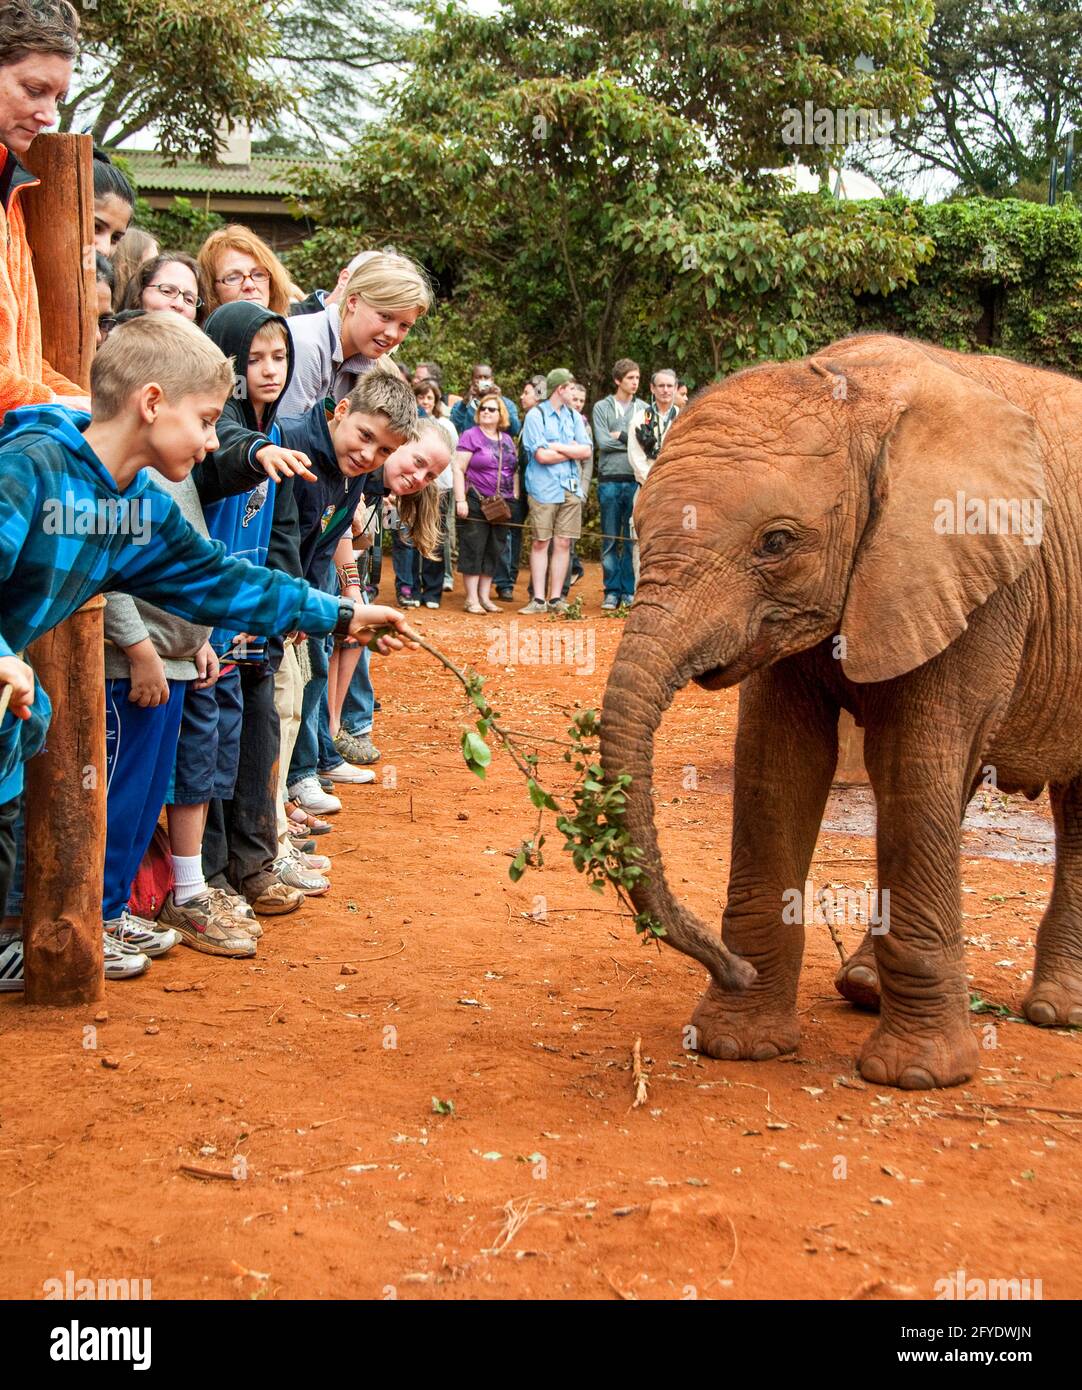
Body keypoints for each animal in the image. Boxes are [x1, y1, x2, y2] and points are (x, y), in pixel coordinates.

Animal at [598, 333, 1068, 1084]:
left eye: (777, 542)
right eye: (636, 527)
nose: (727, 967)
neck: (856, 395)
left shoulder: (979, 576)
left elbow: (913, 766)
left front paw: (917, 1076)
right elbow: (777, 764)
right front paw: (737, 1044)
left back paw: (1055, 1011)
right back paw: (868, 989)